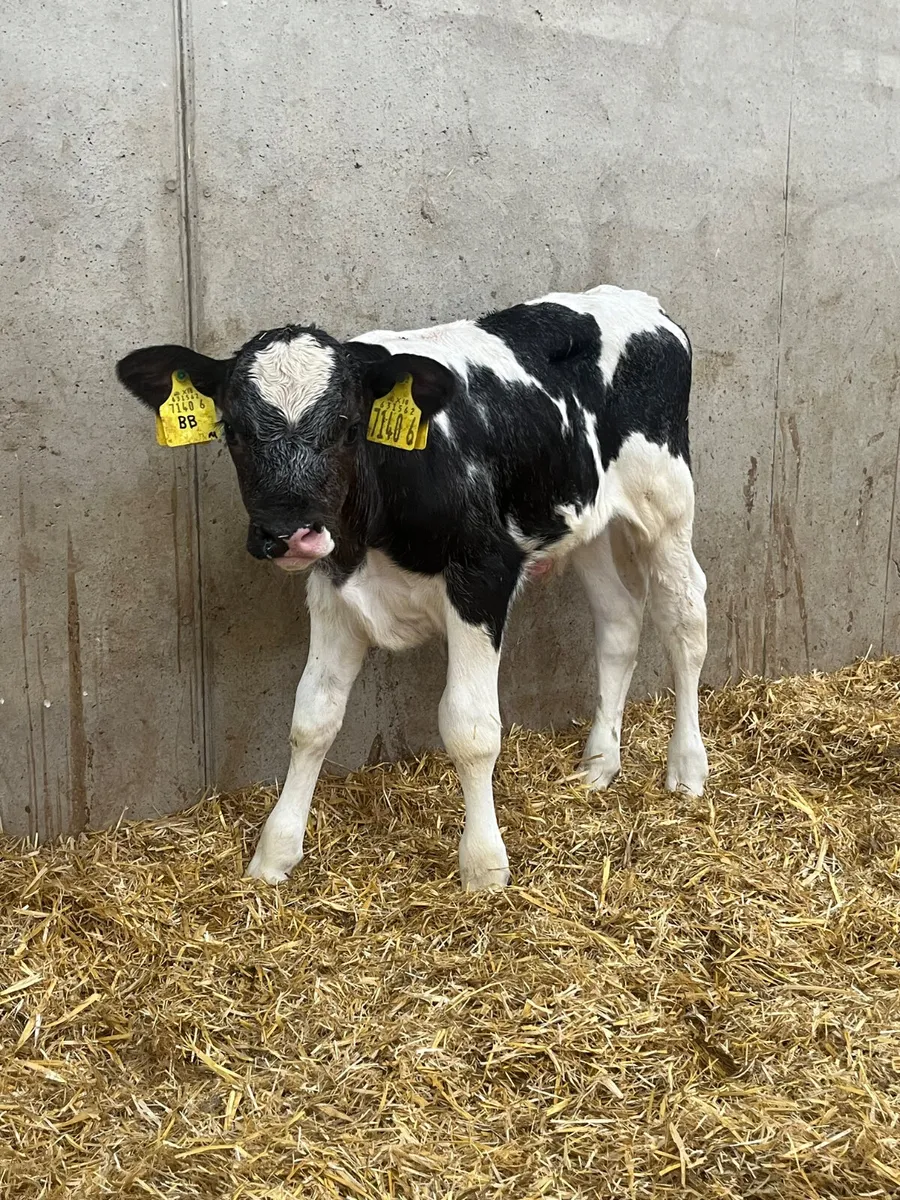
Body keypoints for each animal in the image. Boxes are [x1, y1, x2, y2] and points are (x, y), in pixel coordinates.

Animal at [117, 285, 708, 890]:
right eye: (232, 431)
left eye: (348, 426)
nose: (288, 533)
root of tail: (633, 300)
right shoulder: (334, 590)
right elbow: (312, 716)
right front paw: (275, 853)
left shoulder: (484, 576)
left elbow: (471, 727)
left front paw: (483, 866)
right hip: (585, 521)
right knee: (619, 621)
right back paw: (598, 765)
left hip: (667, 505)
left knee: (686, 621)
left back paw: (687, 768)